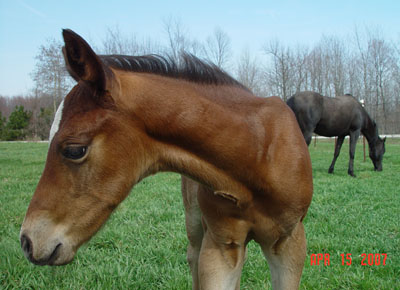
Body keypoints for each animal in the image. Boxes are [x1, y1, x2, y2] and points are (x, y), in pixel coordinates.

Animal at [19, 30, 312, 290]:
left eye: (74, 150)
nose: (27, 241)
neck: (257, 153)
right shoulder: (220, 245)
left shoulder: (290, 243)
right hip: (196, 224)